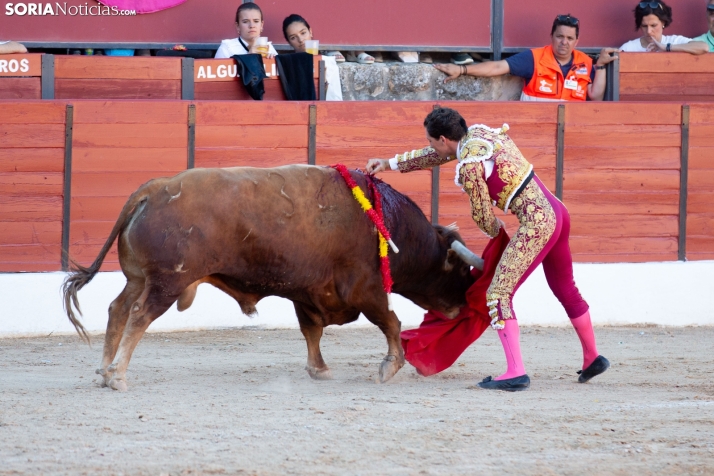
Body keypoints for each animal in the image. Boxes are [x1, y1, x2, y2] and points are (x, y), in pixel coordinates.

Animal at [62, 165, 478, 390]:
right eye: (461, 269)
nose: (460, 307)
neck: (385, 221)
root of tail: (154, 188)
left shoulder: (308, 292)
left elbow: (311, 332)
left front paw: (319, 370)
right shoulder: (366, 289)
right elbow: (391, 322)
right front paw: (389, 367)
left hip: (137, 278)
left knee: (117, 310)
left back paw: (103, 371)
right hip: (166, 283)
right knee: (138, 316)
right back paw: (117, 375)